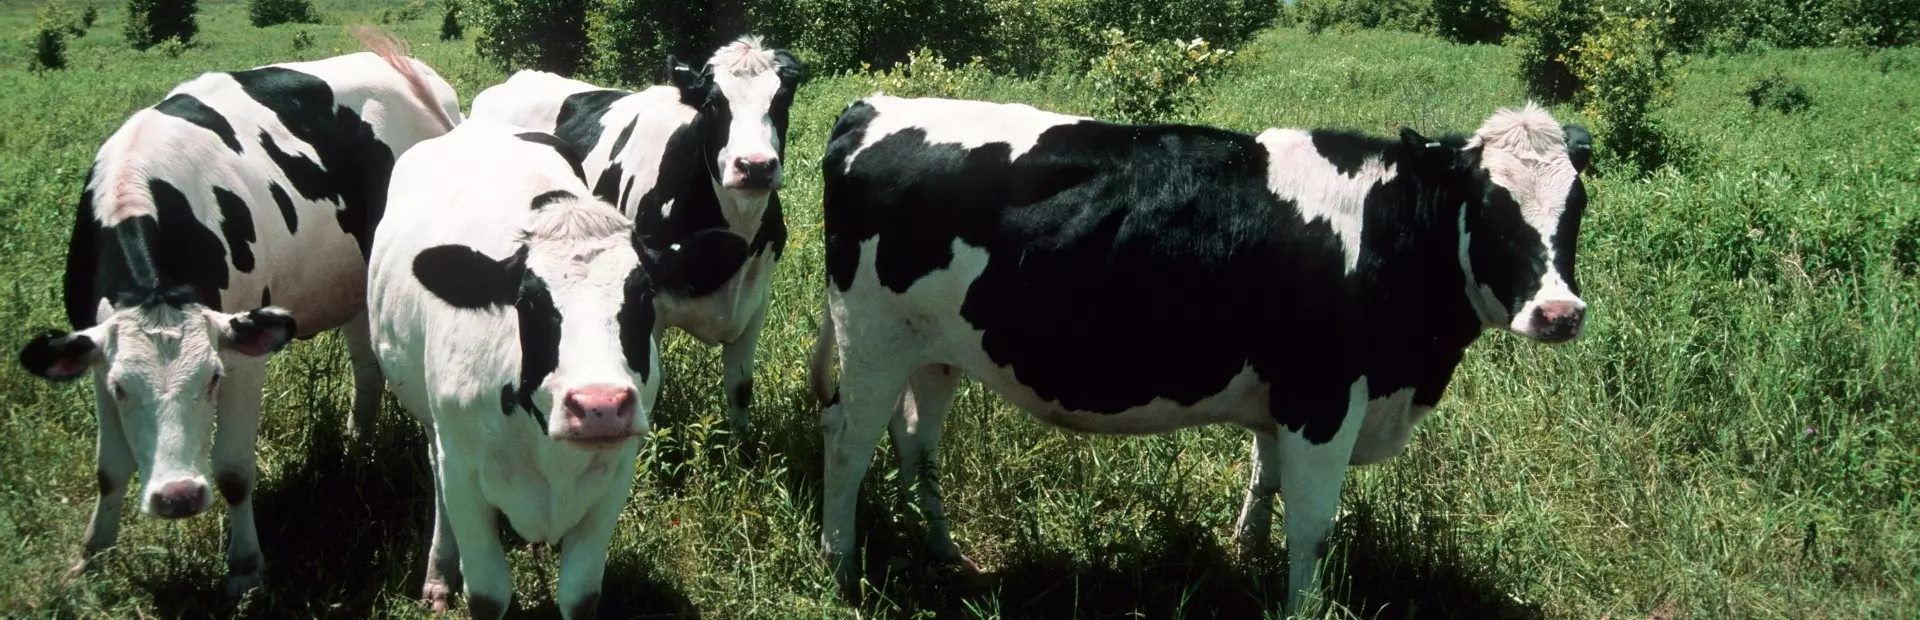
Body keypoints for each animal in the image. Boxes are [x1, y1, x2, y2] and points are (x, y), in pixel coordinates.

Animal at [13, 30, 461, 599]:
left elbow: (232, 471)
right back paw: (357, 446)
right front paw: (90, 559)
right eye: (121, 388)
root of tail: (405, 67)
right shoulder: (96, 356)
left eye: (211, 379)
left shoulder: (242, 350)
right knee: (367, 368)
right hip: (357, 278)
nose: (177, 496)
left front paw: (246, 568)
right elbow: (109, 469)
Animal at [367, 117, 698, 619]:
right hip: (432, 422)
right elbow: (487, 594)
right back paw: (440, 574)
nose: (600, 406)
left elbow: (580, 595)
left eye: (645, 294)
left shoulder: (615, 478)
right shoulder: (464, 474)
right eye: (528, 302)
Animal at [466, 35, 805, 440]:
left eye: (782, 99)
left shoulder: (756, 300)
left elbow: (740, 388)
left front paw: (742, 448)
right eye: (712, 104)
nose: (754, 166)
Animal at [807, 95, 1592, 614]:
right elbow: (1313, 524)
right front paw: (1300, 603)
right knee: (845, 441)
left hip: (933, 349)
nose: (1559, 313)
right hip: (871, 340)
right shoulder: (1324, 399)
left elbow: (1264, 482)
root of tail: (871, 109)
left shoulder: (1289, 399)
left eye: (1576, 206)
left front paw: (1245, 558)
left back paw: (949, 556)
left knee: (915, 440)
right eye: (1490, 206)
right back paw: (840, 569)